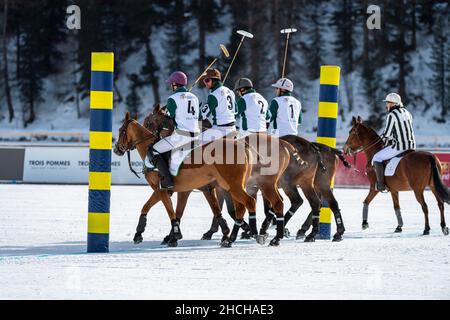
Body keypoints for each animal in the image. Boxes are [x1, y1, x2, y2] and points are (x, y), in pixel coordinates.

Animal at [114, 110, 258, 248]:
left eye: (121, 130)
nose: (116, 149)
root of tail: (243, 145)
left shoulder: (161, 189)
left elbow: (165, 210)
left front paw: (172, 235)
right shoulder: (184, 190)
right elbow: (170, 210)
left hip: (232, 185)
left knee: (248, 202)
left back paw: (249, 235)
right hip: (232, 185)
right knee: (240, 207)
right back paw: (233, 237)